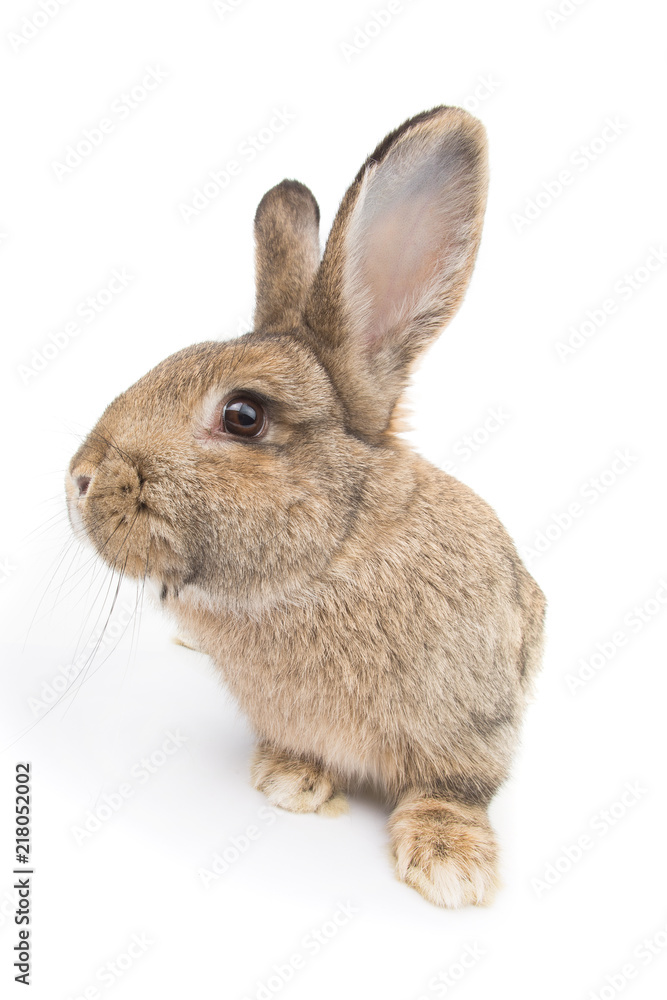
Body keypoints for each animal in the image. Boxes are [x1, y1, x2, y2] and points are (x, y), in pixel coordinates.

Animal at [66, 105, 546, 908]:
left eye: (243, 416)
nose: (79, 480)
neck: (329, 564)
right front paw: (291, 781)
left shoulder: (476, 724)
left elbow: (454, 789)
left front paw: (451, 866)